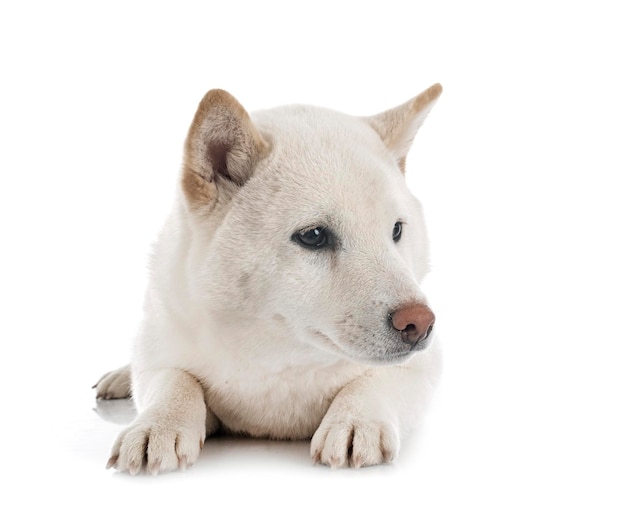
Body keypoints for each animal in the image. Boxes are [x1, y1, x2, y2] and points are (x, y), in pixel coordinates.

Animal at [95, 84, 442, 476]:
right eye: (314, 236)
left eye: (396, 230)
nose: (420, 322)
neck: (280, 358)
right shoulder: (166, 338)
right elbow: (174, 377)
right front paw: (157, 424)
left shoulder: (426, 361)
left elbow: (378, 378)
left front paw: (357, 420)